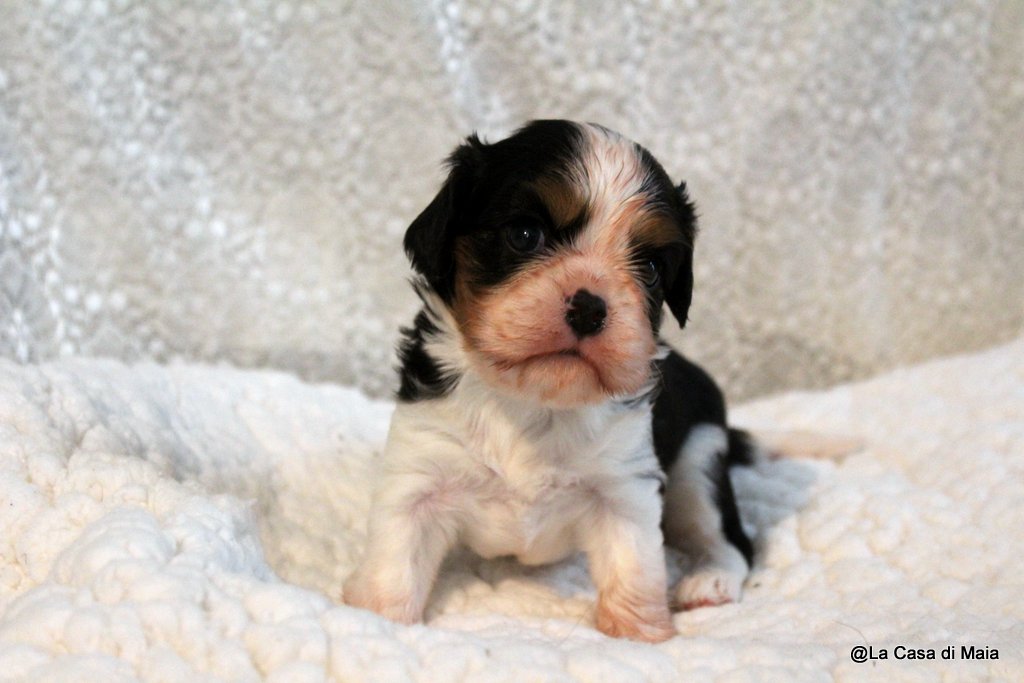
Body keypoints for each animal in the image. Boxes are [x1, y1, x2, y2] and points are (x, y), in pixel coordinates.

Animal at [343, 120, 754, 642]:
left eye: (651, 267)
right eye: (524, 235)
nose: (589, 307)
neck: (531, 401)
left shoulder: (624, 487)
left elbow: (635, 568)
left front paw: (640, 637)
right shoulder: (420, 474)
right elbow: (394, 565)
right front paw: (377, 623)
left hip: (700, 460)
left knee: (732, 539)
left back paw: (710, 580)